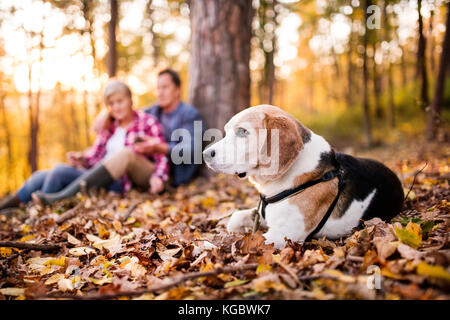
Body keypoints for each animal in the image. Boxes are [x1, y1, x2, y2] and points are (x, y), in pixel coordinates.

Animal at [202, 105, 402, 248]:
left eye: (242, 131)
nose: (205, 154)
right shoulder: (264, 216)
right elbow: (235, 217)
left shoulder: (282, 235)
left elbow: (233, 243)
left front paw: (205, 246)